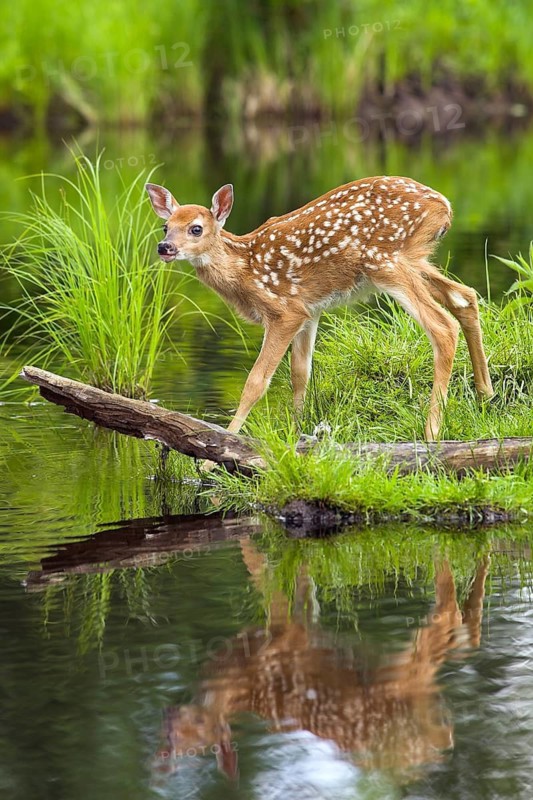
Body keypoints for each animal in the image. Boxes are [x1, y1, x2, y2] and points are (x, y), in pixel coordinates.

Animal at [146, 176, 493, 440]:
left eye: (196, 228)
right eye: (165, 226)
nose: (165, 247)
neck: (246, 269)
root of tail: (443, 205)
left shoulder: (284, 310)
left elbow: (256, 382)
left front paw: (219, 449)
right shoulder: (309, 310)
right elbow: (300, 373)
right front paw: (295, 433)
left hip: (386, 261)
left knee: (442, 325)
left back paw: (431, 432)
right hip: (415, 259)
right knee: (465, 297)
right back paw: (485, 396)